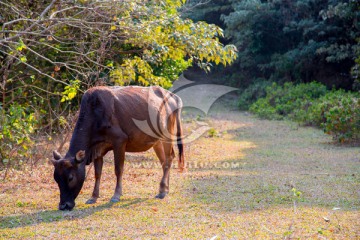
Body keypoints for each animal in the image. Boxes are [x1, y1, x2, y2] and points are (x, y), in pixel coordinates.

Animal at [50, 86, 184, 210]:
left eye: (70, 178)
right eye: (56, 178)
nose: (64, 205)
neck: (95, 114)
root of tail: (174, 96)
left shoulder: (120, 141)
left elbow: (118, 169)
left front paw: (116, 195)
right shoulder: (97, 149)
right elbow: (97, 173)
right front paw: (93, 197)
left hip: (167, 133)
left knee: (169, 157)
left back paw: (162, 190)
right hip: (156, 141)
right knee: (163, 161)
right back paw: (165, 189)